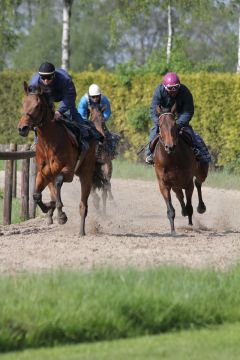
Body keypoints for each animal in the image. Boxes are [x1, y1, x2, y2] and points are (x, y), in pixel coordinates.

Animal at [16, 83, 103, 238]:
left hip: (86, 173)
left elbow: (58, 182)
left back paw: (81, 231)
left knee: (83, 205)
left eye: (38, 105)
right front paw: (48, 208)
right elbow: (36, 195)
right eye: (23, 103)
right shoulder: (43, 173)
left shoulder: (68, 171)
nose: (22, 128)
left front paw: (61, 215)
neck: (49, 143)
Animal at [154, 105, 208, 235]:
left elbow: (190, 206)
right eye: (160, 125)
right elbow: (171, 209)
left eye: (175, 124)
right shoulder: (164, 184)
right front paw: (173, 231)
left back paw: (201, 207)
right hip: (176, 184)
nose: (170, 146)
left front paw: (190, 225)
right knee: (179, 195)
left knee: (198, 182)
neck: (171, 159)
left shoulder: (188, 182)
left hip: (202, 171)